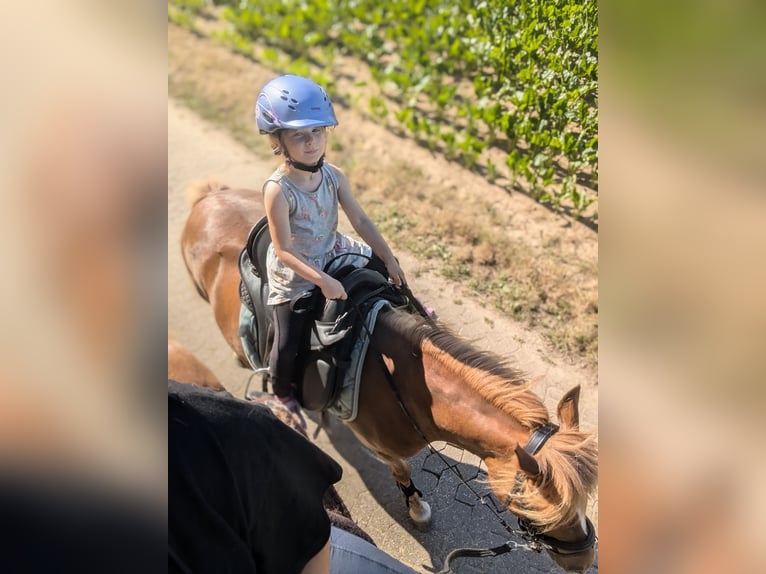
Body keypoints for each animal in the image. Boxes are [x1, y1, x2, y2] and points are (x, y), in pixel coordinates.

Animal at [180, 180, 599, 572]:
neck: (408, 388)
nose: (582, 560)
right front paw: (416, 507)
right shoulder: (380, 443)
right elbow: (401, 468)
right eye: (533, 511)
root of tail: (210, 196)